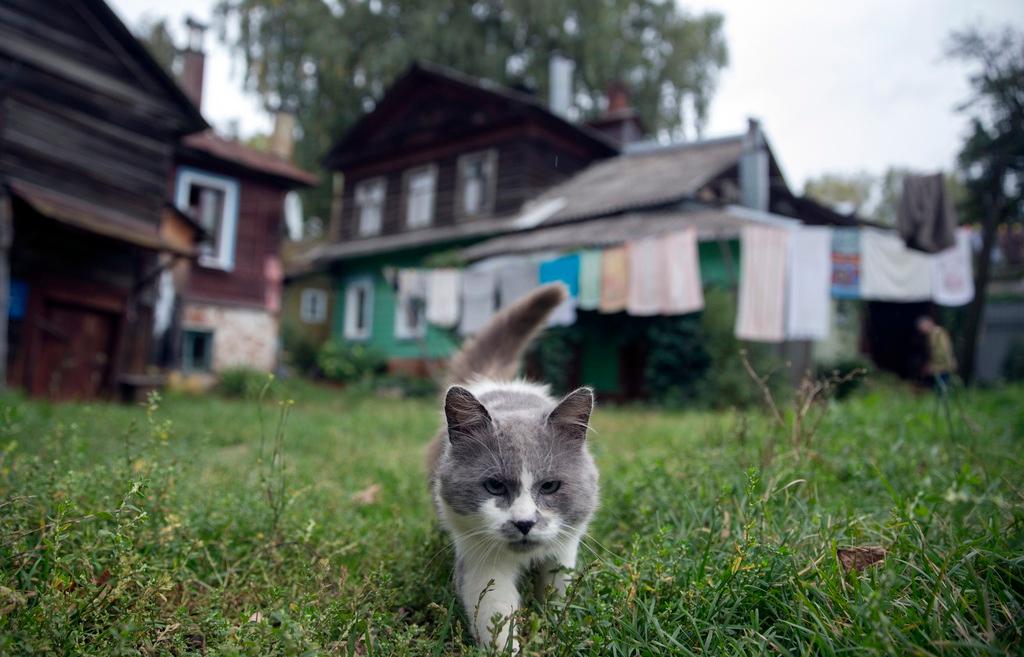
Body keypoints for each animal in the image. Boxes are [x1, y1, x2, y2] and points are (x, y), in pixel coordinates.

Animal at [425, 282, 598, 650]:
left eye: (550, 486)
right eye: (494, 485)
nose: (524, 523)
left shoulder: (564, 549)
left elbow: (557, 595)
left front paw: (555, 631)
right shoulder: (482, 564)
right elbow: (497, 619)